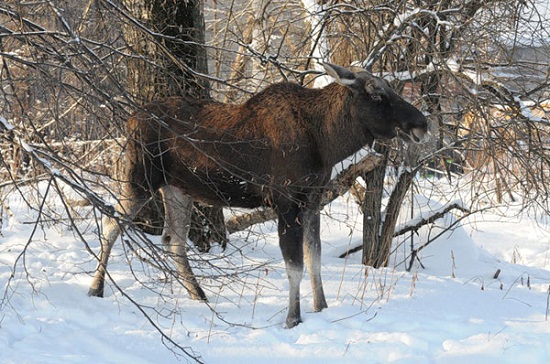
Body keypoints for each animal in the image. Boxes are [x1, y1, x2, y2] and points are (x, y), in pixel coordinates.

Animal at [87, 64, 432, 328]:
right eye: (376, 94)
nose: (422, 123)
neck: (327, 141)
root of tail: (130, 119)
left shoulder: (312, 200)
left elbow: (314, 258)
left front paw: (321, 308)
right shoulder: (285, 201)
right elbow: (295, 264)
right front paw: (293, 318)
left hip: (178, 189)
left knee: (173, 240)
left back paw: (197, 293)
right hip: (140, 179)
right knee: (111, 222)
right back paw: (96, 287)